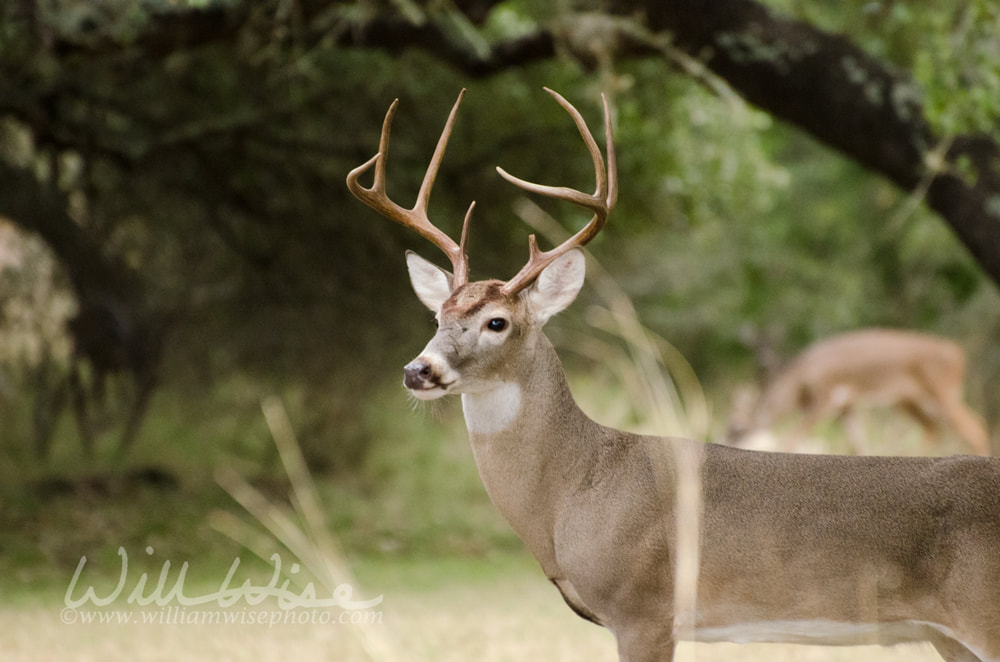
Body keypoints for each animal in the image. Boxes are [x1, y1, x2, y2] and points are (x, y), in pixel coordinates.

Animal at [728, 330, 992, 460]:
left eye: (737, 429)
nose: (727, 443)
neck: (800, 379)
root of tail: (958, 353)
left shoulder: (825, 398)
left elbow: (790, 439)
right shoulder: (847, 405)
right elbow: (858, 444)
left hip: (943, 394)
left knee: (976, 429)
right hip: (907, 400)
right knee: (935, 429)